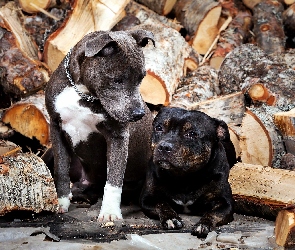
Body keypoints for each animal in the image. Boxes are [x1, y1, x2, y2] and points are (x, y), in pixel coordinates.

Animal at [140, 106, 237, 238]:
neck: (184, 178)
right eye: (159, 128)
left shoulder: (226, 203)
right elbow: (162, 204)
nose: (164, 146)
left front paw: (203, 224)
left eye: (192, 134)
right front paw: (171, 218)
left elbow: (213, 213)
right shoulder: (147, 199)